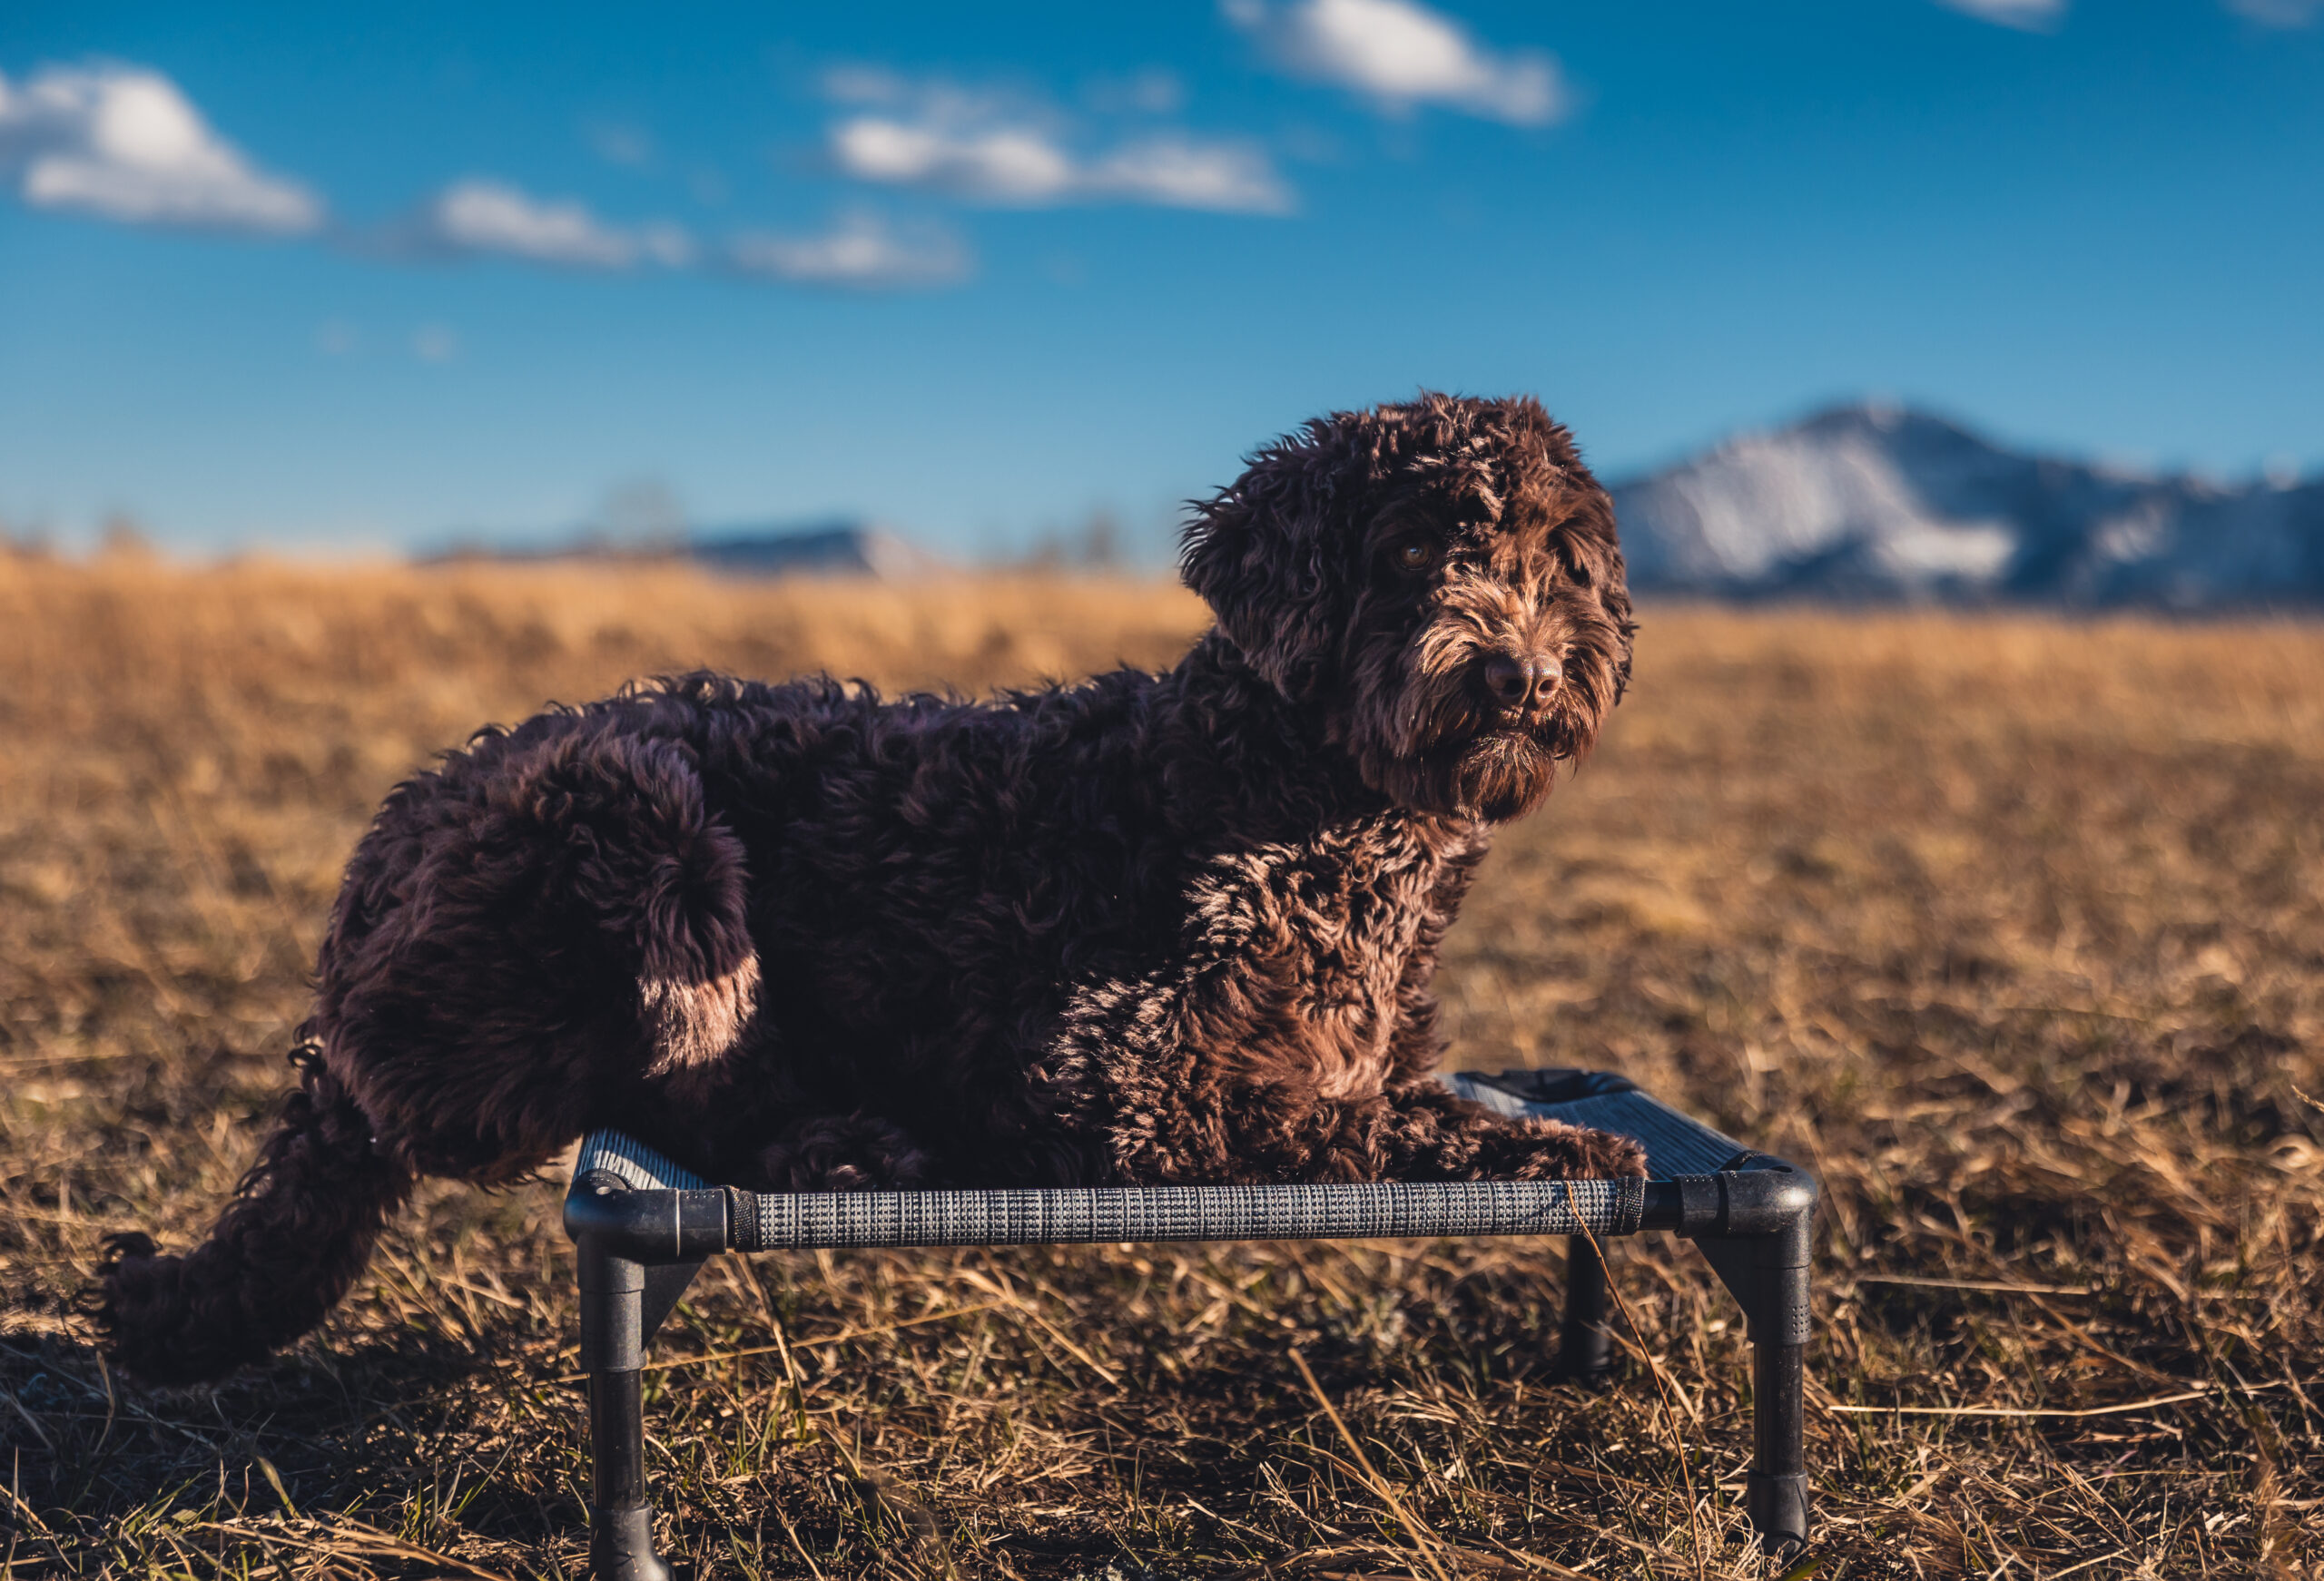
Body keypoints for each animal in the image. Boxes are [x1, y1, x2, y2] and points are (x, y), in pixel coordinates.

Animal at [100, 392, 1645, 1385]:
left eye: (1552, 562)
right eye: (1411, 549)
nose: (1521, 674)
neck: (1293, 795)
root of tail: (364, 891)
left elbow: (1392, 1098)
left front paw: (1536, 1128)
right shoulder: (1112, 1088)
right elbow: (1344, 1124)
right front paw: (1545, 1144)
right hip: (642, 811)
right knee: (681, 1083)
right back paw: (844, 1148)